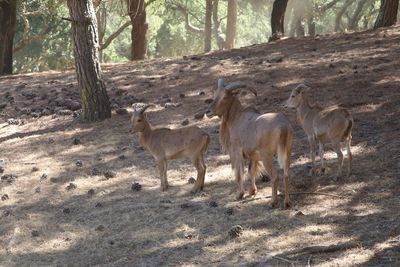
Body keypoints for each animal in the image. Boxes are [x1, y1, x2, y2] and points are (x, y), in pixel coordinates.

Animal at [206, 78, 294, 208]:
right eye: (215, 94)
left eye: (225, 97)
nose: (208, 111)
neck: (236, 118)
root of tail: (284, 127)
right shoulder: (254, 156)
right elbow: (251, 170)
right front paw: (252, 191)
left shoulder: (236, 151)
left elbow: (239, 173)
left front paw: (239, 194)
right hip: (287, 152)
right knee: (286, 175)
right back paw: (287, 202)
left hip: (267, 156)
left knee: (275, 177)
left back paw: (273, 202)